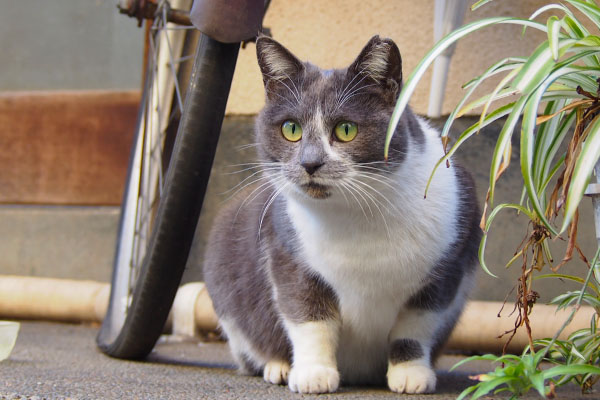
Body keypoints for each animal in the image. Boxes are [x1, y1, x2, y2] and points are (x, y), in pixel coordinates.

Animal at [204, 35, 480, 394]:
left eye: (346, 129)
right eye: (291, 129)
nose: (310, 163)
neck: (357, 216)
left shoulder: (445, 269)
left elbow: (414, 328)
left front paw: (411, 374)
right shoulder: (289, 256)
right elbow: (309, 319)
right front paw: (313, 373)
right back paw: (278, 366)